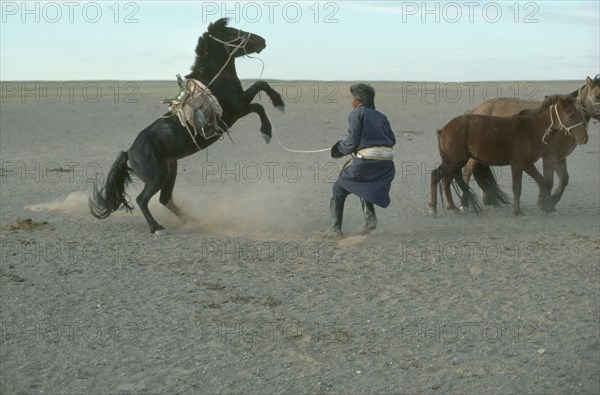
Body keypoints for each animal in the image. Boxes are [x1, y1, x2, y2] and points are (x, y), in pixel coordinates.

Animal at [90, 18, 284, 234]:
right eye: (233, 32)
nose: (262, 41)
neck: (214, 80)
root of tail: (129, 152)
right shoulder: (237, 107)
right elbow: (260, 90)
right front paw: (270, 122)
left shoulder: (238, 110)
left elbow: (259, 98)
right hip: (157, 177)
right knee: (142, 200)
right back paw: (157, 227)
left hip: (170, 171)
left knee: (165, 199)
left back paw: (193, 221)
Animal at [428, 95, 588, 218]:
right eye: (570, 116)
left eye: (580, 114)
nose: (584, 138)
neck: (530, 129)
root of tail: (444, 129)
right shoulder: (517, 164)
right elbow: (517, 187)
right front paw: (518, 212)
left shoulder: (527, 164)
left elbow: (541, 181)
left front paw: (544, 205)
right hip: (455, 161)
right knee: (437, 176)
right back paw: (437, 208)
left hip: (453, 162)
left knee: (445, 179)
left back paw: (451, 207)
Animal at [464, 76, 600, 210]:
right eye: (596, 96)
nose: (584, 138)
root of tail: (475, 110)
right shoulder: (549, 157)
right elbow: (548, 182)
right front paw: (544, 203)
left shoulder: (560, 158)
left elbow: (564, 180)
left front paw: (552, 200)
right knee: (468, 170)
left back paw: (488, 198)